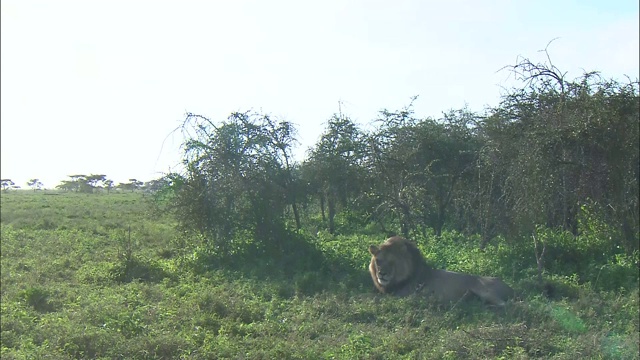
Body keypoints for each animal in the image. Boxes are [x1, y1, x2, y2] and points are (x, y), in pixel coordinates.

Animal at [368, 236, 512, 306]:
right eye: (379, 261)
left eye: (392, 262)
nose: (382, 273)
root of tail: (511, 288)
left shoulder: (401, 295)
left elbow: (371, 297)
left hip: (483, 289)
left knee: (505, 304)